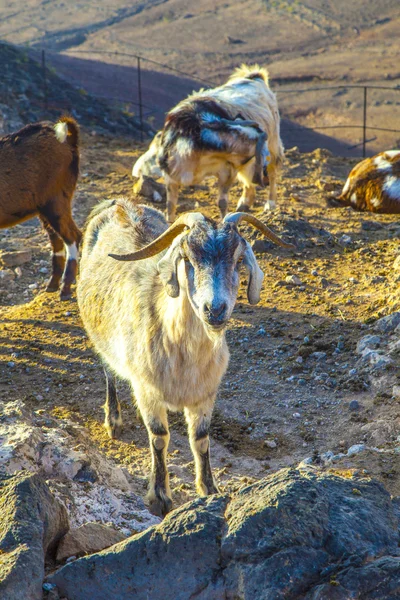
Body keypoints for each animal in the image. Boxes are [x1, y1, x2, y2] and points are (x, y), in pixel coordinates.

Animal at [0, 116, 82, 298]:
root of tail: (69, 140)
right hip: (44, 208)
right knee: (59, 238)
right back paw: (53, 284)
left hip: (56, 200)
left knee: (72, 236)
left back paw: (65, 288)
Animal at [76, 200, 294, 516]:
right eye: (188, 258)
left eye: (239, 260)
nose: (214, 310)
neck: (181, 354)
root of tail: (117, 203)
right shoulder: (147, 389)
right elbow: (158, 438)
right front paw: (159, 496)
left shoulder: (205, 394)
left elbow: (200, 440)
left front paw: (210, 489)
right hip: (100, 337)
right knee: (109, 371)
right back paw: (113, 420)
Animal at [133, 64, 282, 223]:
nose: (264, 179)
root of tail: (255, 77)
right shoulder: (171, 176)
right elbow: (170, 205)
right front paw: (169, 223)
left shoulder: (226, 172)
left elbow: (222, 203)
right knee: (248, 179)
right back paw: (244, 203)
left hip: (274, 144)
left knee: (272, 172)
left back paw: (270, 204)